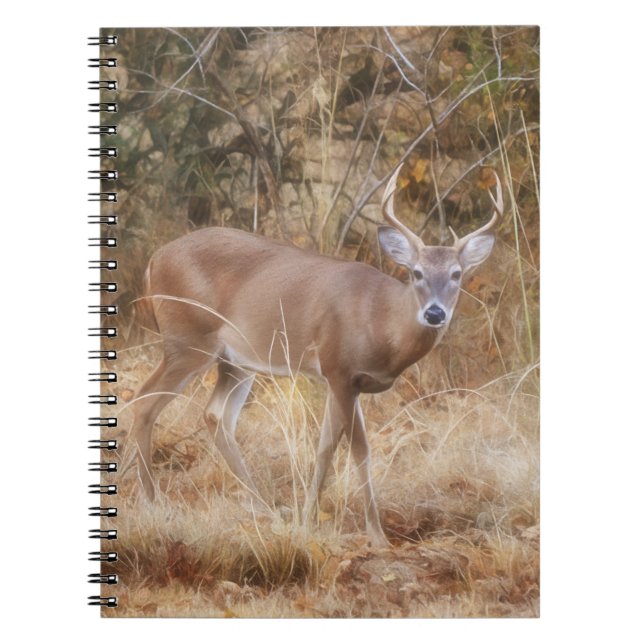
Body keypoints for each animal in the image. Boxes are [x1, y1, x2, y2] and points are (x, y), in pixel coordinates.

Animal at [131, 164, 503, 547]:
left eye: (457, 274)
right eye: (417, 273)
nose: (434, 313)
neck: (381, 320)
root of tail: (153, 261)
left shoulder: (342, 380)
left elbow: (325, 446)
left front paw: (307, 519)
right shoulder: (339, 368)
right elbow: (359, 450)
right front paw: (377, 535)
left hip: (235, 360)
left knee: (215, 415)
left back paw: (264, 508)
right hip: (187, 340)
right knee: (145, 399)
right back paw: (153, 502)